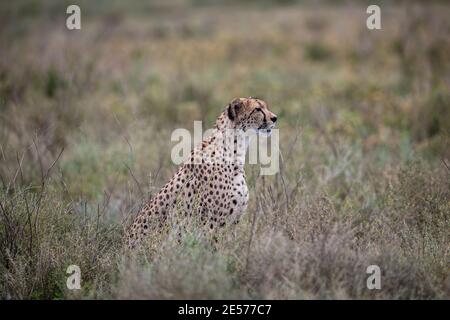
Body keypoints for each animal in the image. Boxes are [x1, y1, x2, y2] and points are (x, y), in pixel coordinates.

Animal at [125, 96, 276, 249]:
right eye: (257, 109)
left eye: (265, 106)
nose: (275, 118)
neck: (232, 150)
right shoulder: (212, 224)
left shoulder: (232, 222)